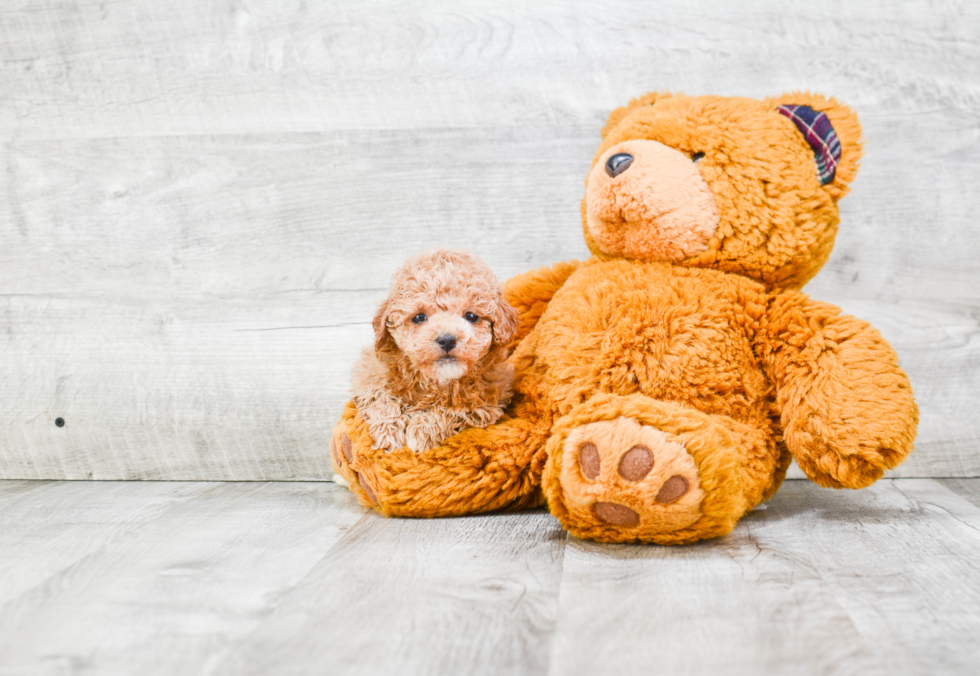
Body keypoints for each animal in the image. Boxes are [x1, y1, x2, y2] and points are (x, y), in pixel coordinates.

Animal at [352, 250, 520, 454]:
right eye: (419, 317)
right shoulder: (369, 375)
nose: (447, 339)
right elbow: (381, 397)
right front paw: (389, 433)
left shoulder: (486, 404)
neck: (437, 381)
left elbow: (451, 410)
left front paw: (421, 430)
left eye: (471, 316)